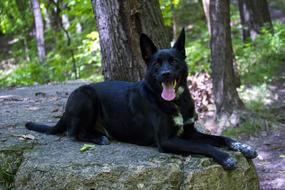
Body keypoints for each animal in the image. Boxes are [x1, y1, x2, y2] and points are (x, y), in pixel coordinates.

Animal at [25, 29, 256, 170]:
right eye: (156, 64)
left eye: (174, 61)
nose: (166, 74)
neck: (176, 102)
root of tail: (65, 110)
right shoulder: (167, 140)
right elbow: (206, 147)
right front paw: (225, 157)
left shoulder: (190, 132)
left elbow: (222, 138)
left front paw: (244, 147)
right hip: (85, 97)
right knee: (73, 133)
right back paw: (98, 138)